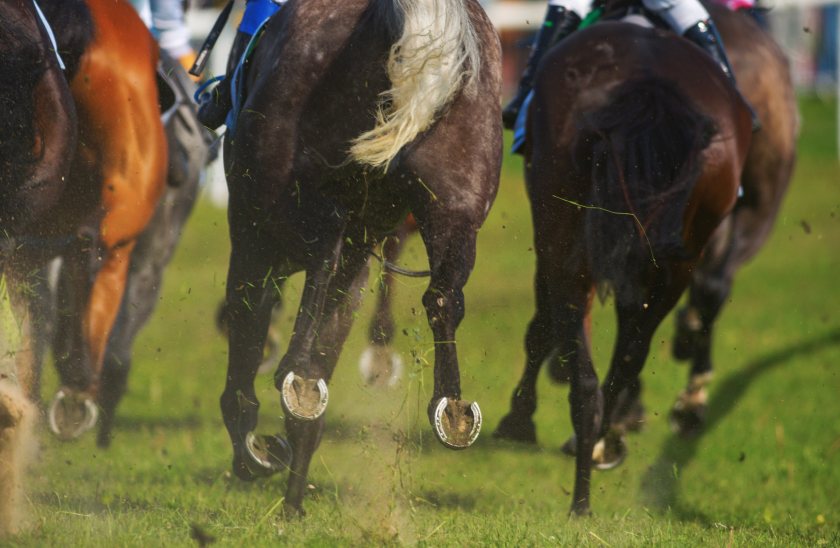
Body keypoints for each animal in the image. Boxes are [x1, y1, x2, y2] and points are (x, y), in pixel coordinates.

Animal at [220, 0, 502, 512]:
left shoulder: (252, 242)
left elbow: (245, 347)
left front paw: (255, 452)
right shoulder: (358, 266)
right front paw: (293, 502)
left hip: (296, 207)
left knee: (326, 244)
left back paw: (294, 375)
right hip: (454, 206)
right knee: (442, 296)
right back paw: (450, 406)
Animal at [496, 21, 752, 516]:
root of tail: (649, 87)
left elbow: (542, 327)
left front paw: (519, 418)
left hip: (565, 235)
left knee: (583, 365)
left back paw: (582, 482)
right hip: (676, 262)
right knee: (627, 358)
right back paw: (595, 455)